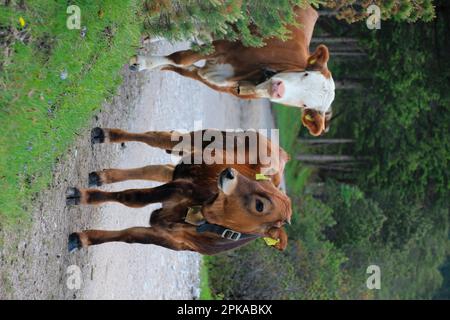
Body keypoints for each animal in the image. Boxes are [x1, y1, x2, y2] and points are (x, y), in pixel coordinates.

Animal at [67, 127, 292, 255]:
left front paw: (82, 239)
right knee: (156, 138)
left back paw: (103, 176)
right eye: (260, 182)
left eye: (260, 205)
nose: (230, 172)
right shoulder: (180, 188)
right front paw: (83, 196)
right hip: (198, 140)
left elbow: (128, 236)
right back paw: (106, 135)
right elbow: (131, 196)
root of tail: (283, 153)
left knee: (157, 169)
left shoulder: (169, 239)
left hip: (183, 166)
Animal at [130, 4, 334, 136]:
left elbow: (176, 66)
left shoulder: (208, 77)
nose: (278, 88)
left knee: (196, 27)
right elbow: (180, 57)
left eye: (305, 105)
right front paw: (141, 61)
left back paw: (150, 34)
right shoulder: (223, 46)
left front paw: (148, 63)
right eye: (305, 73)